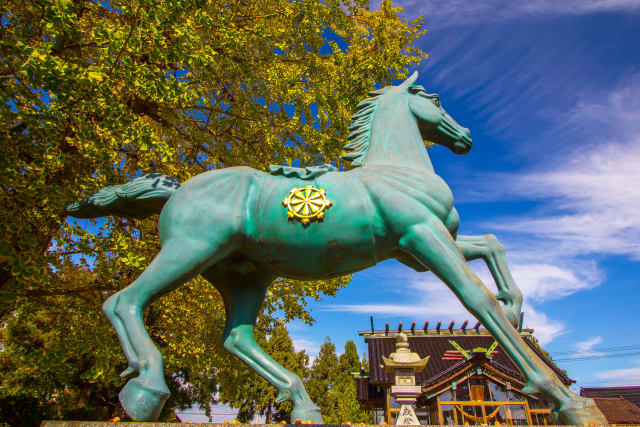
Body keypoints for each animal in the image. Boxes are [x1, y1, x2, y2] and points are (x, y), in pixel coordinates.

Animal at [67, 72, 608, 426]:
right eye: (434, 98)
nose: (466, 137)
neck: (397, 169)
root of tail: (177, 190)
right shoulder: (422, 236)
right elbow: (476, 298)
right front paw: (564, 399)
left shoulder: (420, 247)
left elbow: (493, 246)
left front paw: (516, 309)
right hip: (191, 250)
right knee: (124, 300)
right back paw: (145, 388)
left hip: (244, 274)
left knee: (236, 338)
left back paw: (305, 405)